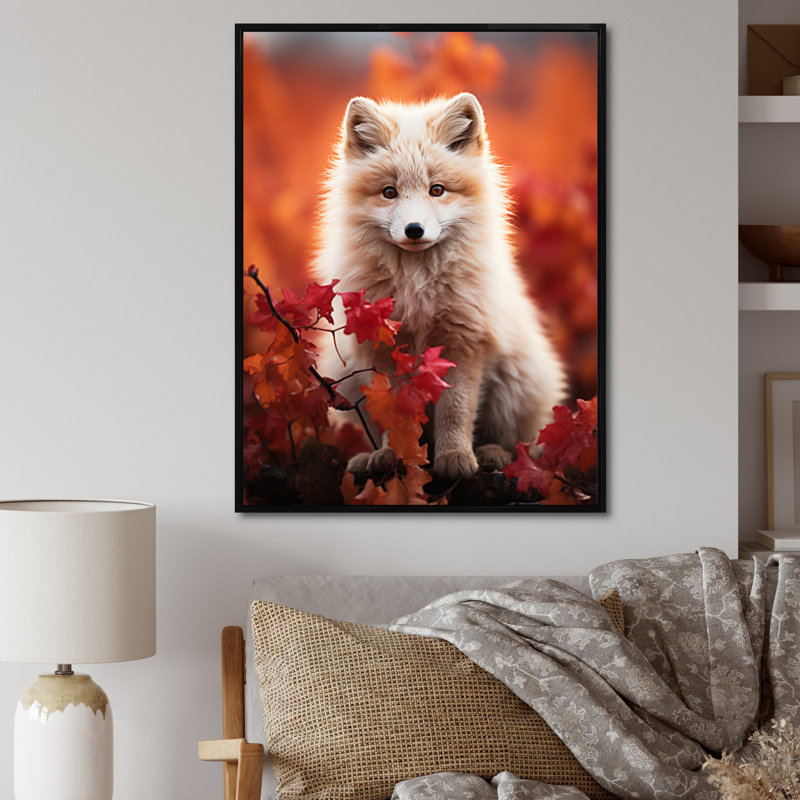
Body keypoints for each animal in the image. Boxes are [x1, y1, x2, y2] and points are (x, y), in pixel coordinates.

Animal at [314, 92, 566, 481]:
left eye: (437, 190)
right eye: (389, 192)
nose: (414, 229)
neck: (417, 287)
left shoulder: (463, 342)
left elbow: (456, 410)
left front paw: (455, 458)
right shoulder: (385, 351)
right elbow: (394, 416)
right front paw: (393, 457)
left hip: (513, 385)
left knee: (521, 444)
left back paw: (494, 455)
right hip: (347, 378)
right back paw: (368, 458)